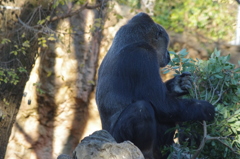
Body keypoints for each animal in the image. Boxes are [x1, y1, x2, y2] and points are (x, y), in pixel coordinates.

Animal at [95, 12, 214, 159]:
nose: (168, 54)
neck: (129, 40)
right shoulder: (143, 56)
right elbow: (161, 103)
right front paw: (203, 108)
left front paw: (178, 84)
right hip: (118, 143)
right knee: (142, 109)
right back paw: (144, 152)